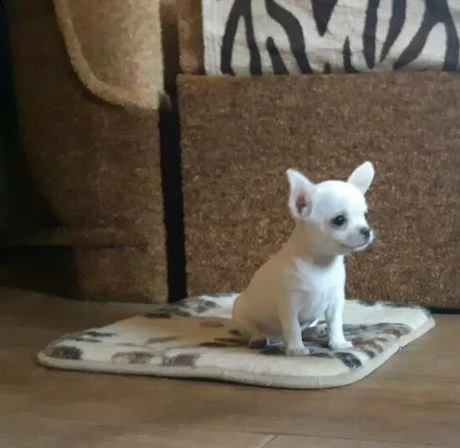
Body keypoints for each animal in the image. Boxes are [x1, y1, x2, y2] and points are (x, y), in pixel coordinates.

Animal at [232, 161, 375, 356]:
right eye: (339, 220)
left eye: (364, 215)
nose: (366, 231)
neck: (321, 264)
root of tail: (275, 338)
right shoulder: (289, 305)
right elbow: (292, 327)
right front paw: (296, 349)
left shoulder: (335, 301)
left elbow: (335, 323)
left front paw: (338, 342)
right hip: (240, 313)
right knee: (252, 329)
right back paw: (258, 338)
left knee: (306, 328)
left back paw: (316, 330)